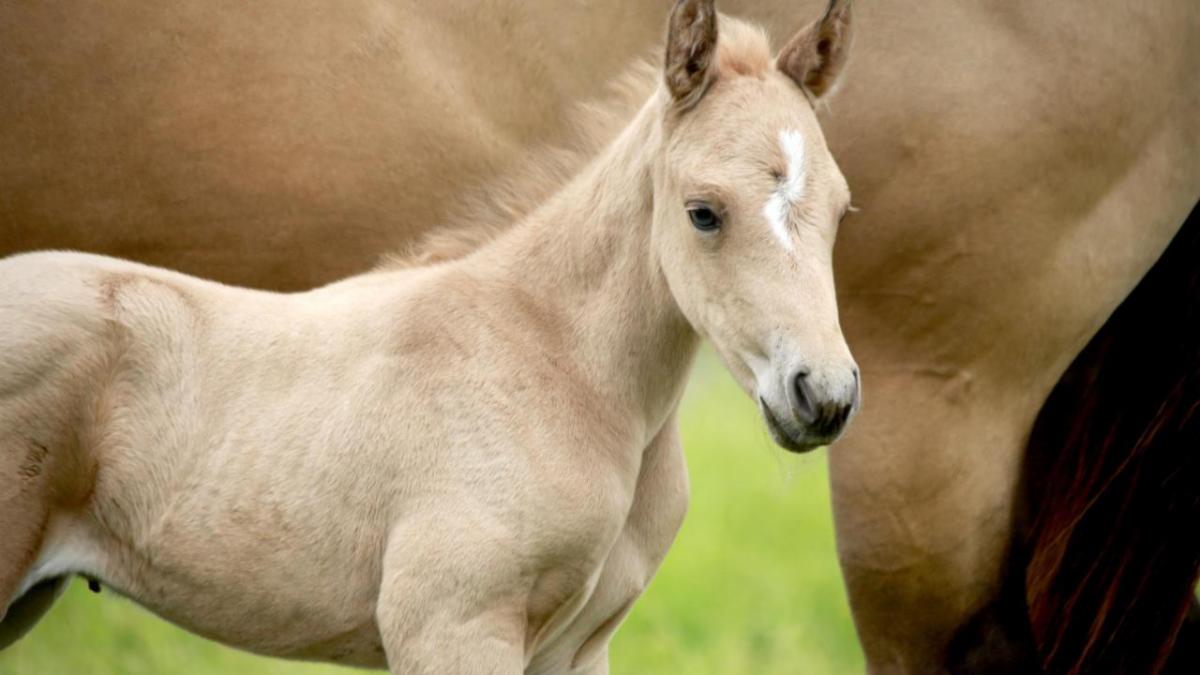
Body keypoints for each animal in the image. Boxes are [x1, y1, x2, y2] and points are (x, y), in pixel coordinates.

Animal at [3, 0, 1198, 671]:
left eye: (842, 209)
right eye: (704, 211)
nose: (822, 398)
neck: (552, 366)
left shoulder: (580, 647)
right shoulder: (450, 628)